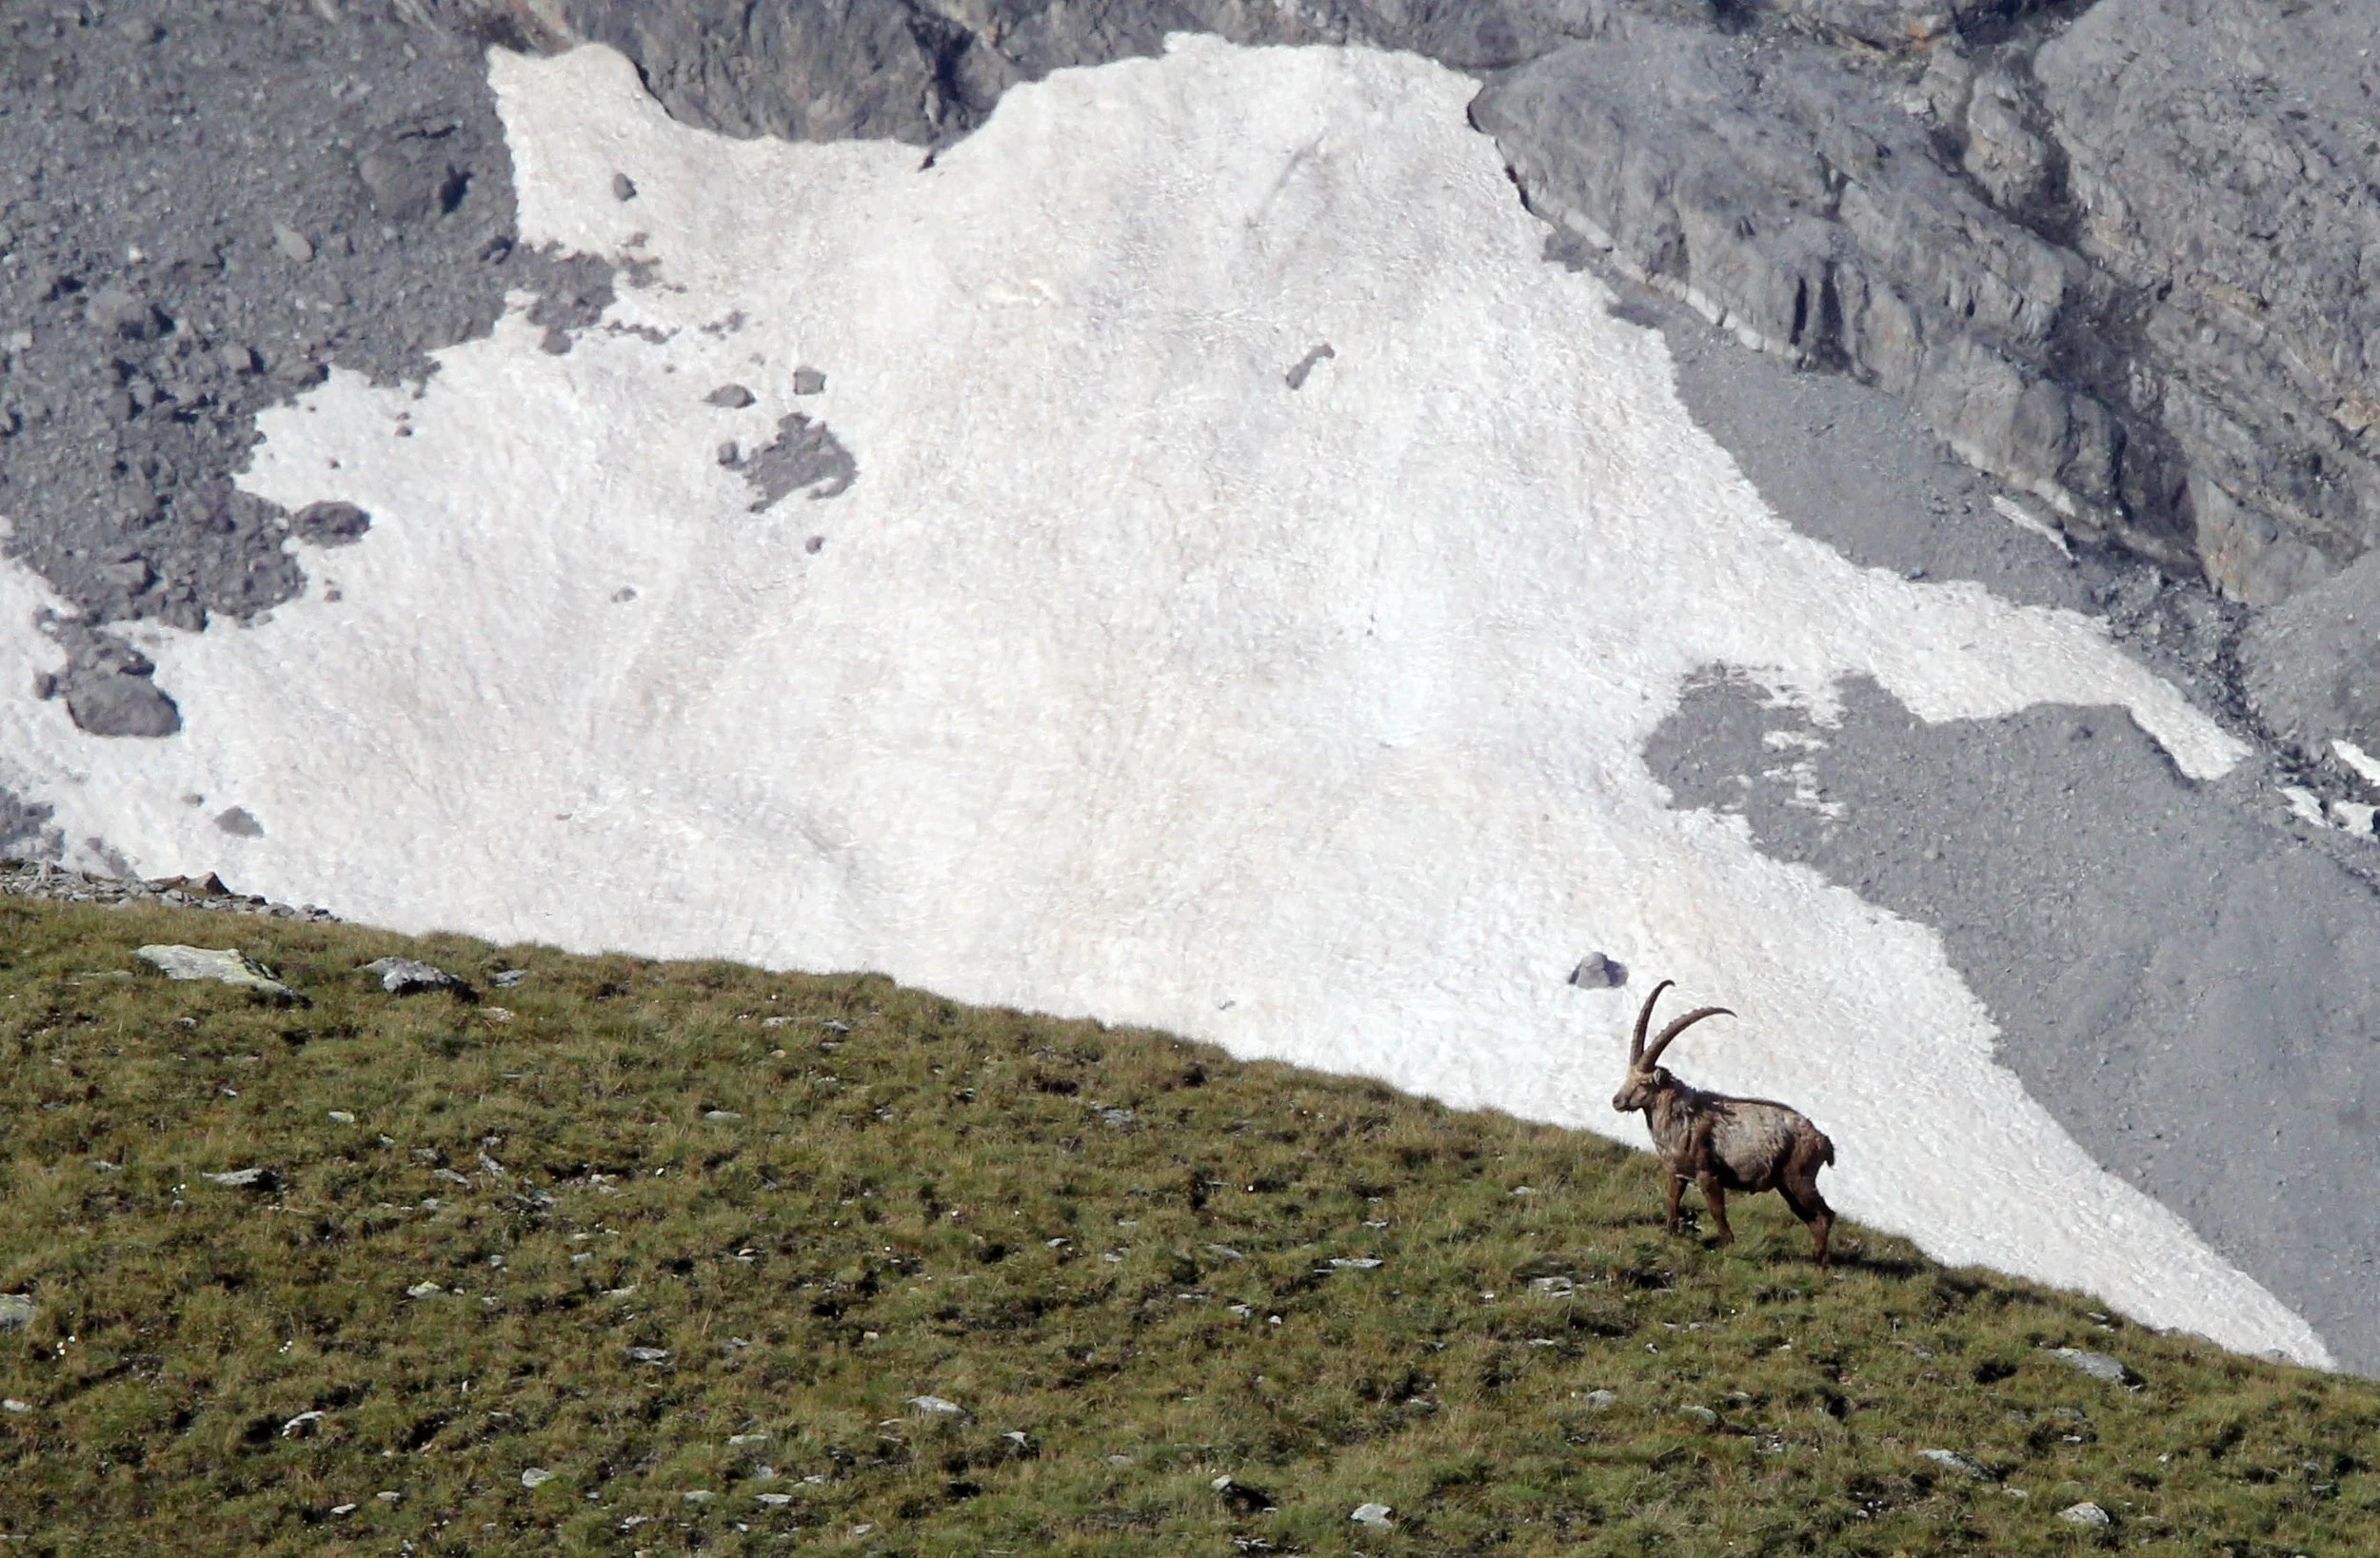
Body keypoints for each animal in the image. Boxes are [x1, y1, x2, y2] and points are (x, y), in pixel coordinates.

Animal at [1611, 980, 1836, 1267]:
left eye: (1643, 1083)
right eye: (1627, 1075)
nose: (1617, 1101)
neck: (1680, 1117)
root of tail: (1823, 1141)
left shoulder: (1708, 1173)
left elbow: (1717, 1209)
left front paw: (1728, 1244)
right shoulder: (1677, 1172)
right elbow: (1672, 1201)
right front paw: (1671, 1234)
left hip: (1799, 1177)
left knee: (1824, 1215)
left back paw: (1821, 1263)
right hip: (1786, 1185)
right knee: (1812, 1217)